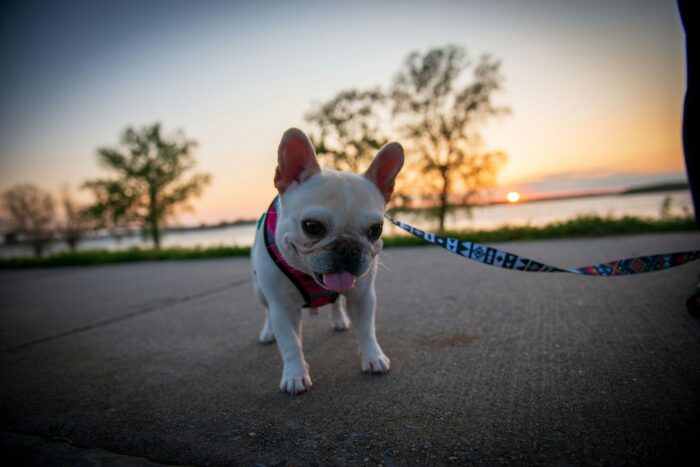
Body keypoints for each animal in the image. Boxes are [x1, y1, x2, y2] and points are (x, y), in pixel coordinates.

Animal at [252, 127, 404, 394]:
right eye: (312, 226)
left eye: (376, 229)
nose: (348, 247)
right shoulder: (282, 307)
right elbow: (290, 343)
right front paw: (295, 374)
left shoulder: (363, 296)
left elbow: (367, 330)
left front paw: (373, 357)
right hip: (260, 292)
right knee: (268, 312)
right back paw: (268, 332)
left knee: (336, 302)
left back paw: (339, 319)